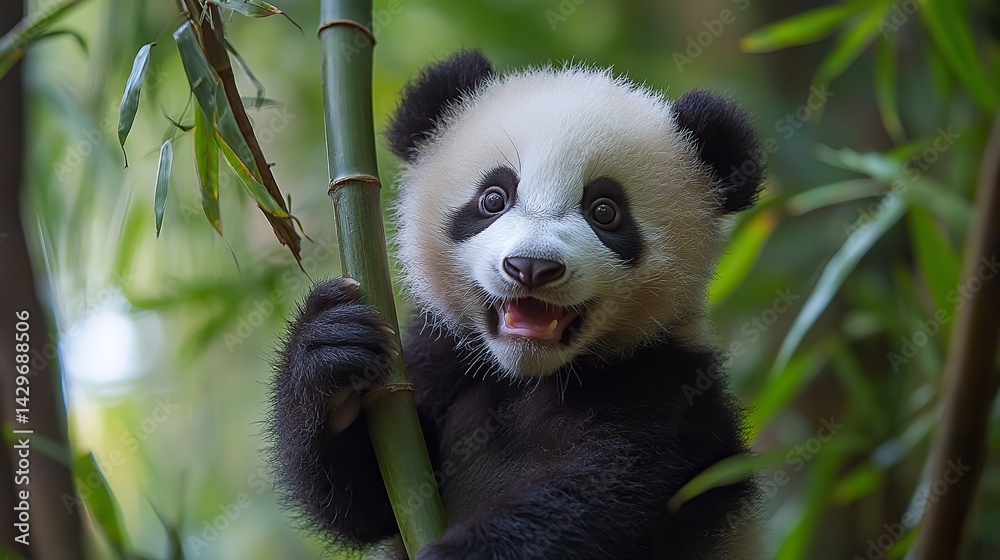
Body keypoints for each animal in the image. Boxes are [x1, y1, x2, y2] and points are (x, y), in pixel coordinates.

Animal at [270, 49, 765, 560]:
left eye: (605, 211)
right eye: (493, 198)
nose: (531, 266)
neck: (527, 374)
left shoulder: (668, 393)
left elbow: (604, 495)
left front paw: (460, 552)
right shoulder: (438, 362)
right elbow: (372, 501)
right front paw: (330, 351)